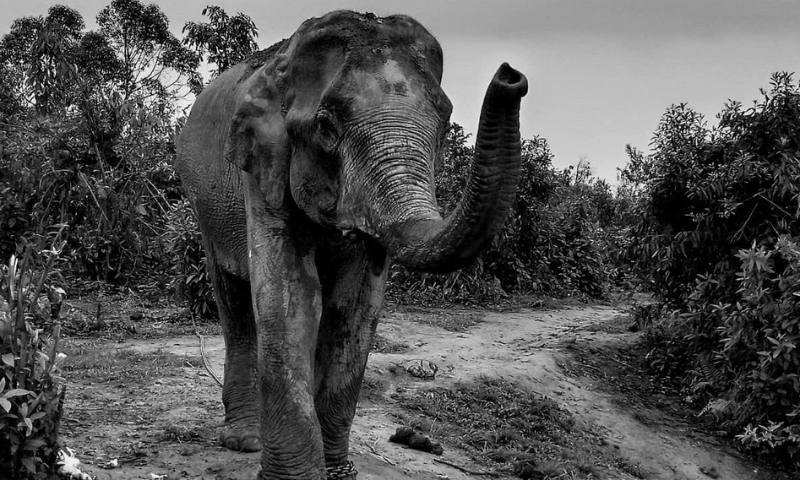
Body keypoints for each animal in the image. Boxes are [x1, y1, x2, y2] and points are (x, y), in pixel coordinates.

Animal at [175, 10, 527, 480]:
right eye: (326, 127)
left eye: (443, 125)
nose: (510, 76)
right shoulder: (263, 168)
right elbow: (291, 295)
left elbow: (357, 305)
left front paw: (339, 474)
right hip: (203, 203)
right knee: (232, 301)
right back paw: (244, 441)